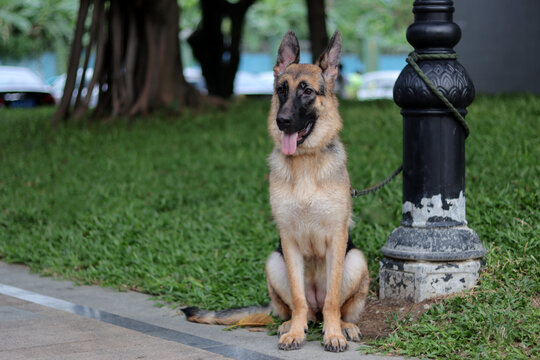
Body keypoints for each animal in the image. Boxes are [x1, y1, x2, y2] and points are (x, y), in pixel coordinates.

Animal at [184, 30, 370, 352]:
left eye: (307, 91)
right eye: (281, 90)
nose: (281, 121)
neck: (305, 163)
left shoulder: (337, 239)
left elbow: (333, 298)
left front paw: (334, 334)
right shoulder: (288, 241)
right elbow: (297, 297)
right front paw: (295, 332)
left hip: (356, 260)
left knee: (334, 307)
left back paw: (343, 326)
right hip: (274, 262)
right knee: (302, 309)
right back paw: (293, 324)